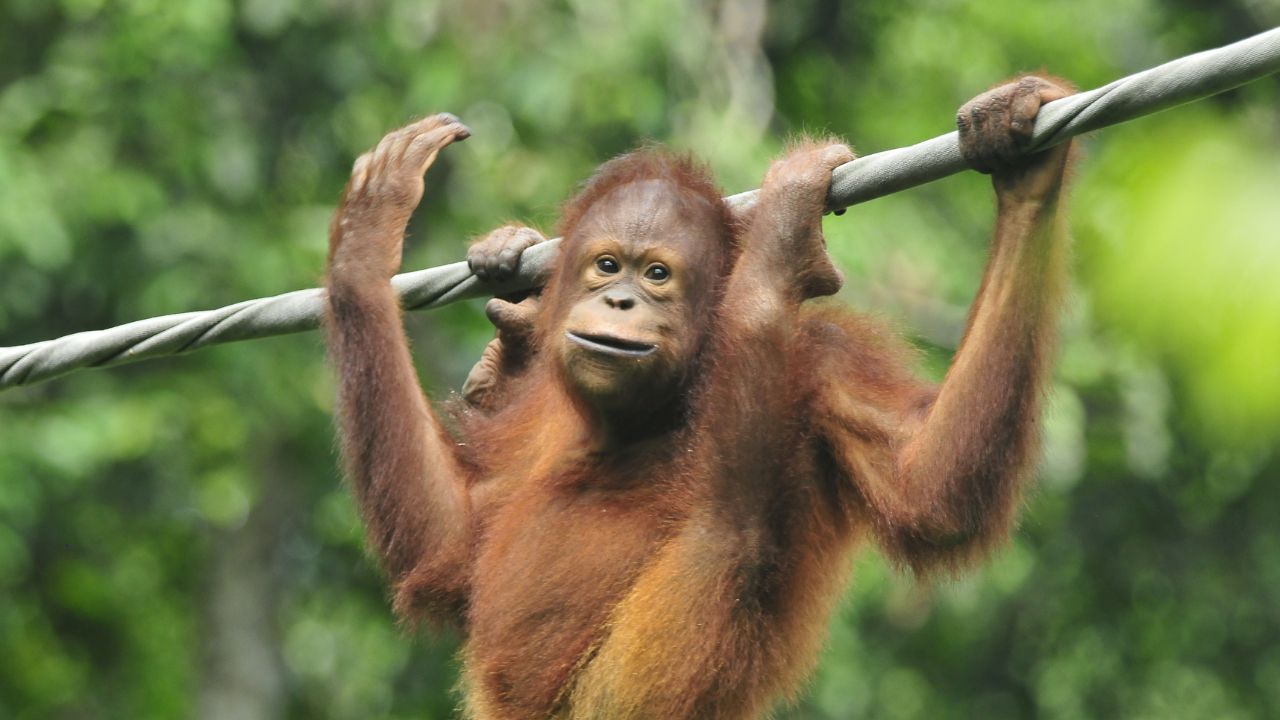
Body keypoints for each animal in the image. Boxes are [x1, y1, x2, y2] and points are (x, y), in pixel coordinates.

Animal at [324, 75, 1075, 718]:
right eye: (606, 265)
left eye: (657, 274)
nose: (620, 300)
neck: (644, 416)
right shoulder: (538, 415)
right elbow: (449, 540)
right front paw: (365, 243)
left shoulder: (824, 364)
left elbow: (932, 490)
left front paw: (1028, 176)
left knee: (731, 535)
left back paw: (778, 258)